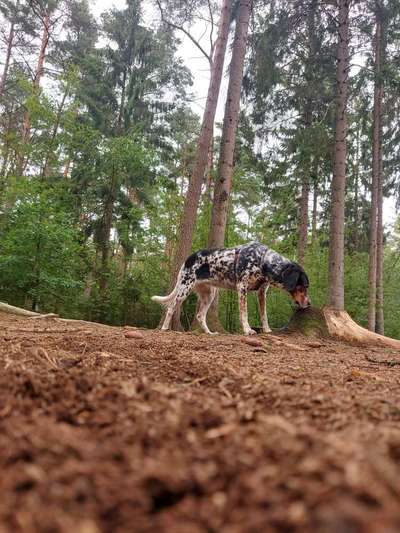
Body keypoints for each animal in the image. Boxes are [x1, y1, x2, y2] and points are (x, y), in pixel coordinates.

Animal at [152, 242, 310, 334]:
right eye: (303, 287)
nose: (309, 304)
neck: (262, 260)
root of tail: (187, 259)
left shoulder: (261, 293)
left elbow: (263, 315)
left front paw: (266, 330)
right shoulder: (242, 288)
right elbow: (244, 313)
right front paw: (247, 330)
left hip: (209, 295)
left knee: (200, 315)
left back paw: (209, 333)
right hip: (185, 288)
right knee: (171, 307)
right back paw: (164, 328)